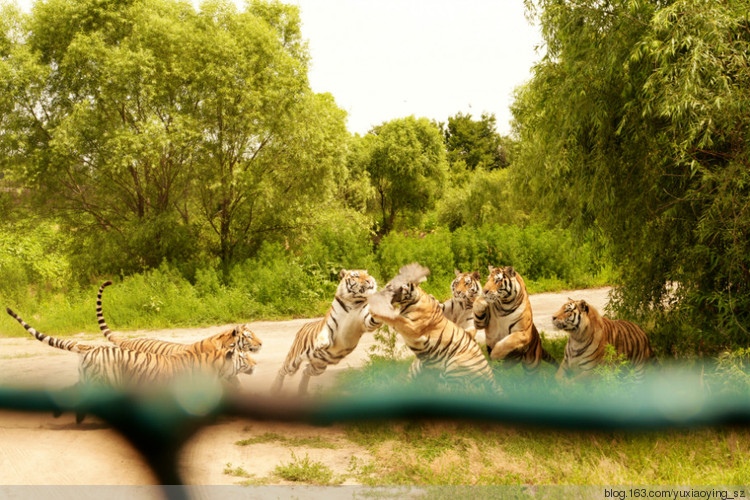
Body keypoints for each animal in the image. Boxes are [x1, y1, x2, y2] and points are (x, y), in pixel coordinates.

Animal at [368, 262, 500, 390]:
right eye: (389, 284)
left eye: (467, 283)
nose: (386, 287)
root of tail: (491, 375)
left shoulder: (412, 327)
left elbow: (394, 318)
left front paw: (375, 310)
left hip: (455, 367)